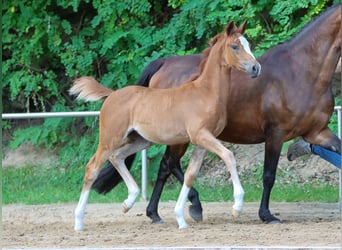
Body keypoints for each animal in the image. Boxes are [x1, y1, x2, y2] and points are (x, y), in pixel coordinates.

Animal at [71, 22, 260, 230]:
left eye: (248, 44)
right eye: (235, 46)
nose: (255, 67)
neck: (206, 93)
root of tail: (112, 94)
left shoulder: (202, 142)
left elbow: (191, 174)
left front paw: (181, 218)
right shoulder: (200, 135)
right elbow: (229, 156)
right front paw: (237, 206)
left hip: (141, 140)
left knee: (117, 157)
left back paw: (129, 201)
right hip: (110, 139)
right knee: (92, 168)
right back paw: (79, 222)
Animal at [92, 3, 340, 224]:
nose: (255, 69)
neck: (302, 72)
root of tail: (164, 63)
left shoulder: (318, 132)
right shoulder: (275, 134)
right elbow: (269, 175)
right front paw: (266, 215)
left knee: (167, 166)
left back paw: (159, 212)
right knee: (168, 164)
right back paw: (186, 207)